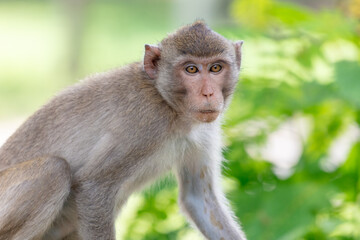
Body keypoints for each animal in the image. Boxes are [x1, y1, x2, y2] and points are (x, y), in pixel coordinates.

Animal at [0, 21, 246, 240]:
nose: (208, 93)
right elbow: (94, 188)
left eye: (216, 68)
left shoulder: (203, 131)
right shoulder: (144, 124)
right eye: (191, 69)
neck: (170, 106)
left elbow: (199, 199)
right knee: (54, 170)